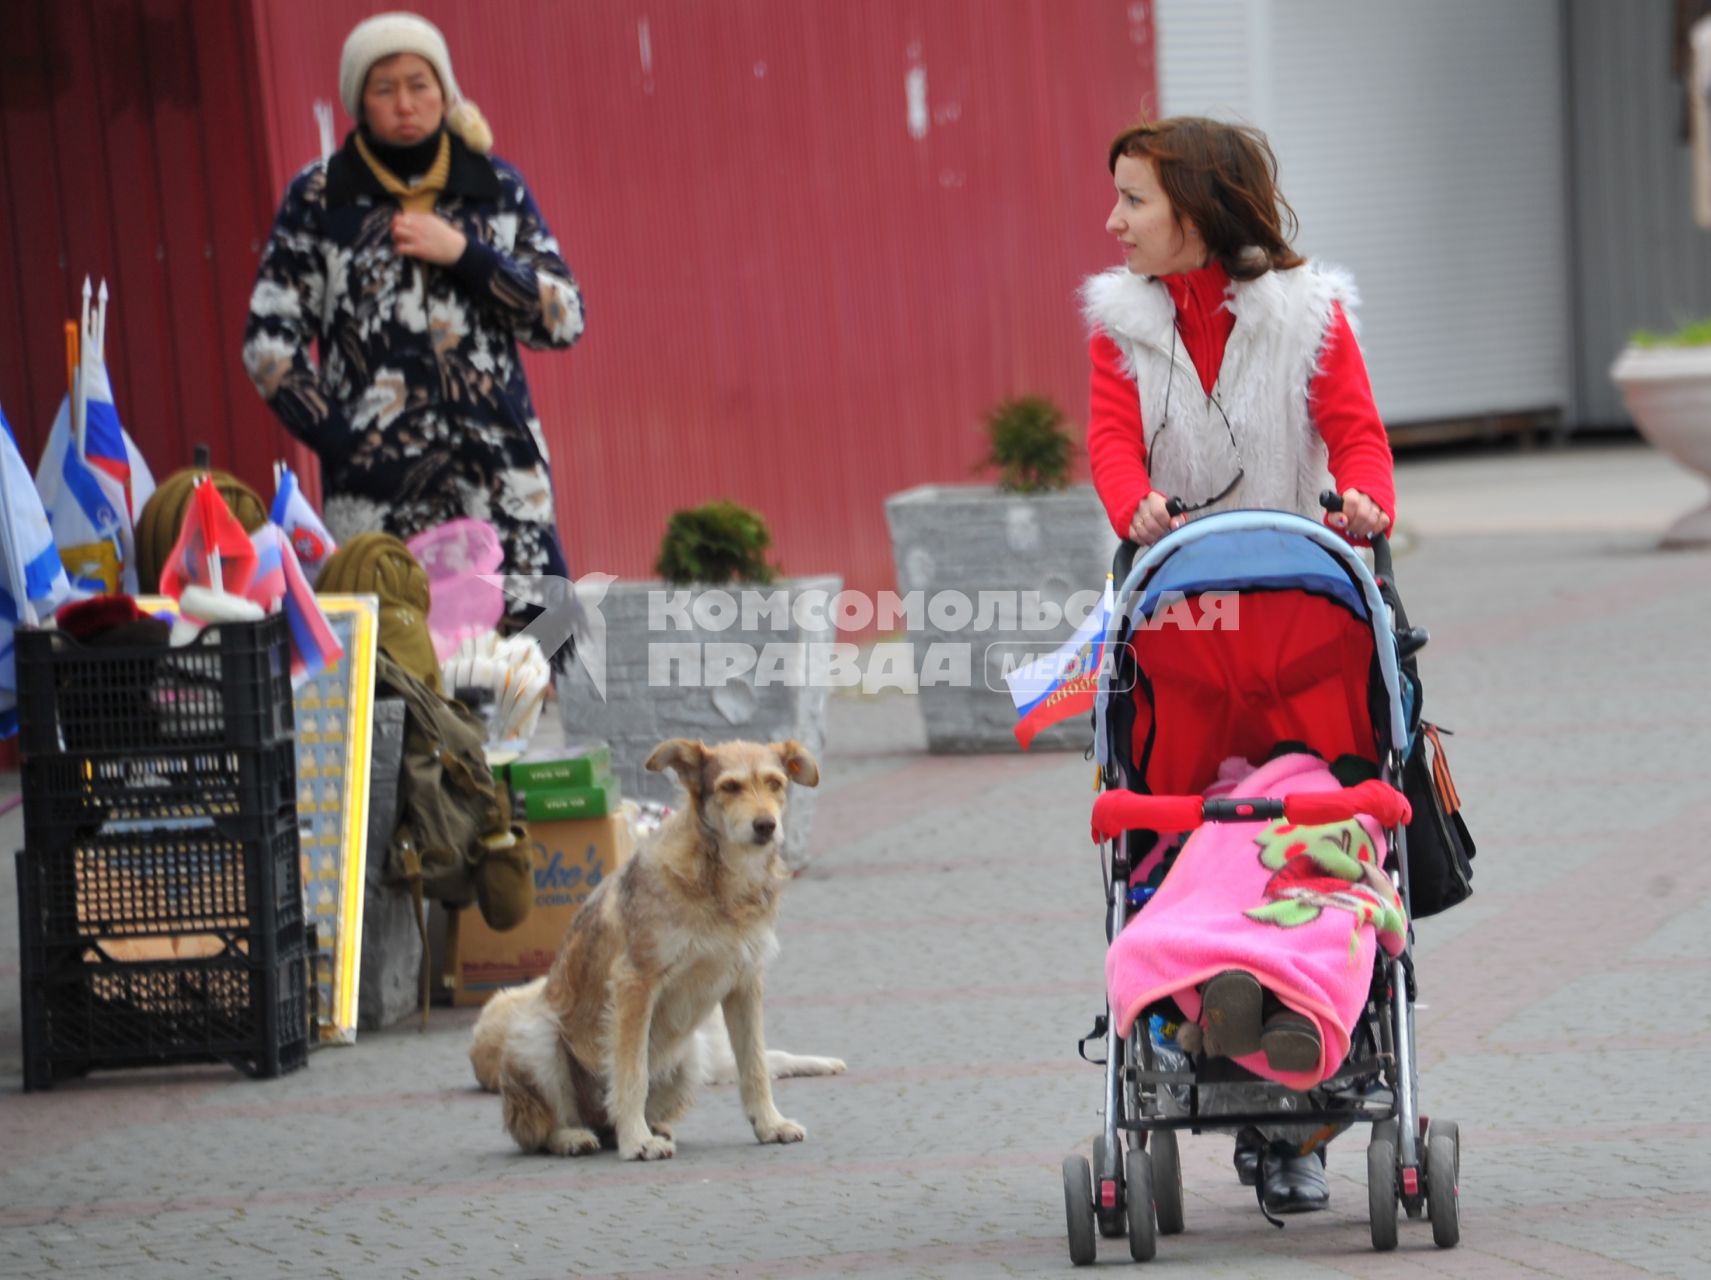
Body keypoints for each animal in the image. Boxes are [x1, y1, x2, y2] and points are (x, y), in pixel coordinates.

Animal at [489, 728, 834, 1156]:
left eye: (775, 783)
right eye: (730, 787)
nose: (766, 825)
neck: (723, 884)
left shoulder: (744, 984)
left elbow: (754, 1065)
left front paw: (770, 1124)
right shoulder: (636, 984)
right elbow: (631, 1072)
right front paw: (637, 1142)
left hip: (691, 1056)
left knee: (611, 1120)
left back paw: (648, 1129)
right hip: (535, 1038)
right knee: (541, 1128)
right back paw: (576, 1136)